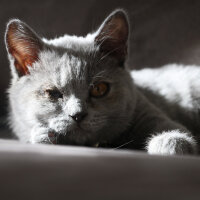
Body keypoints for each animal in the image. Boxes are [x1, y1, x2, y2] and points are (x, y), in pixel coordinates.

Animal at [4, 9, 198, 155]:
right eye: (52, 93)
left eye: (99, 89)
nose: (78, 114)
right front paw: (43, 135)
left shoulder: (147, 111)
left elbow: (172, 130)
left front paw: (171, 144)